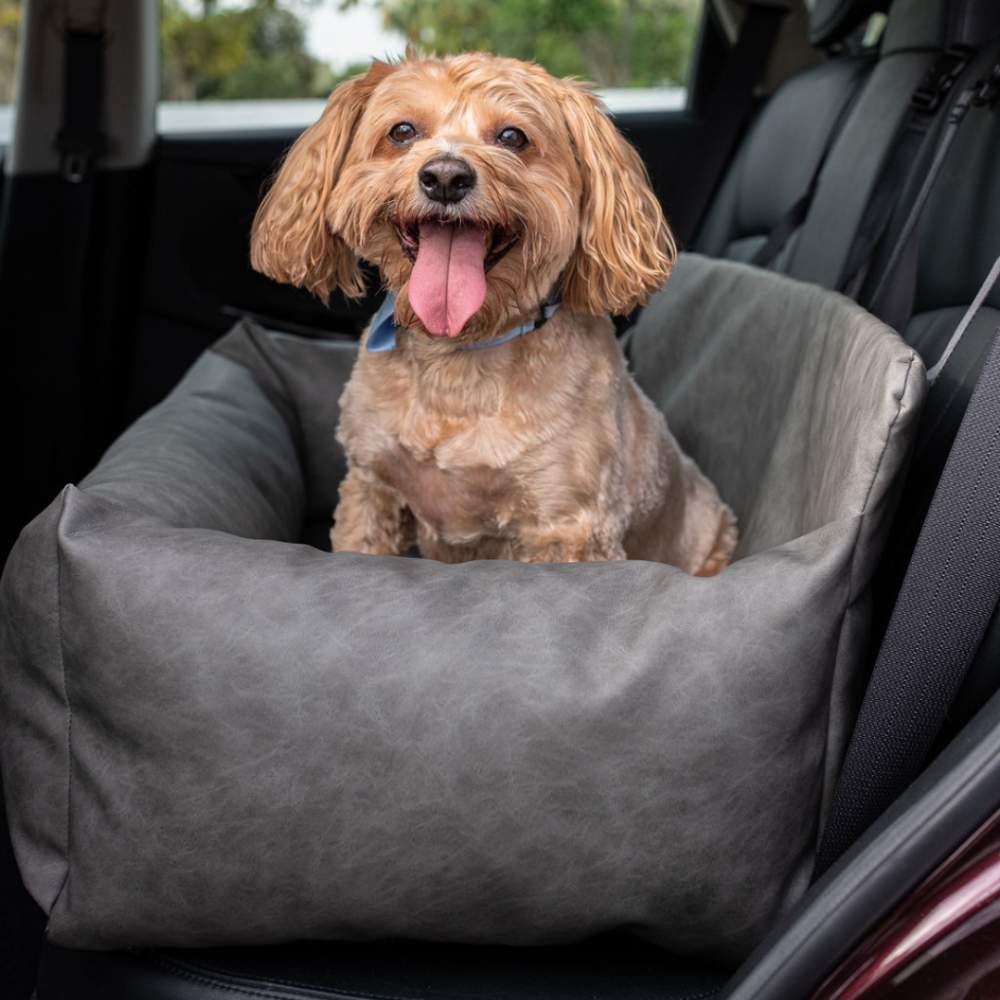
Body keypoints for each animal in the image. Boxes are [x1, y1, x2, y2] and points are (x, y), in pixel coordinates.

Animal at [250, 52, 736, 572]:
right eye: (402, 131)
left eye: (512, 137)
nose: (445, 177)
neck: (458, 354)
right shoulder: (371, 489)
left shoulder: (568, 528)